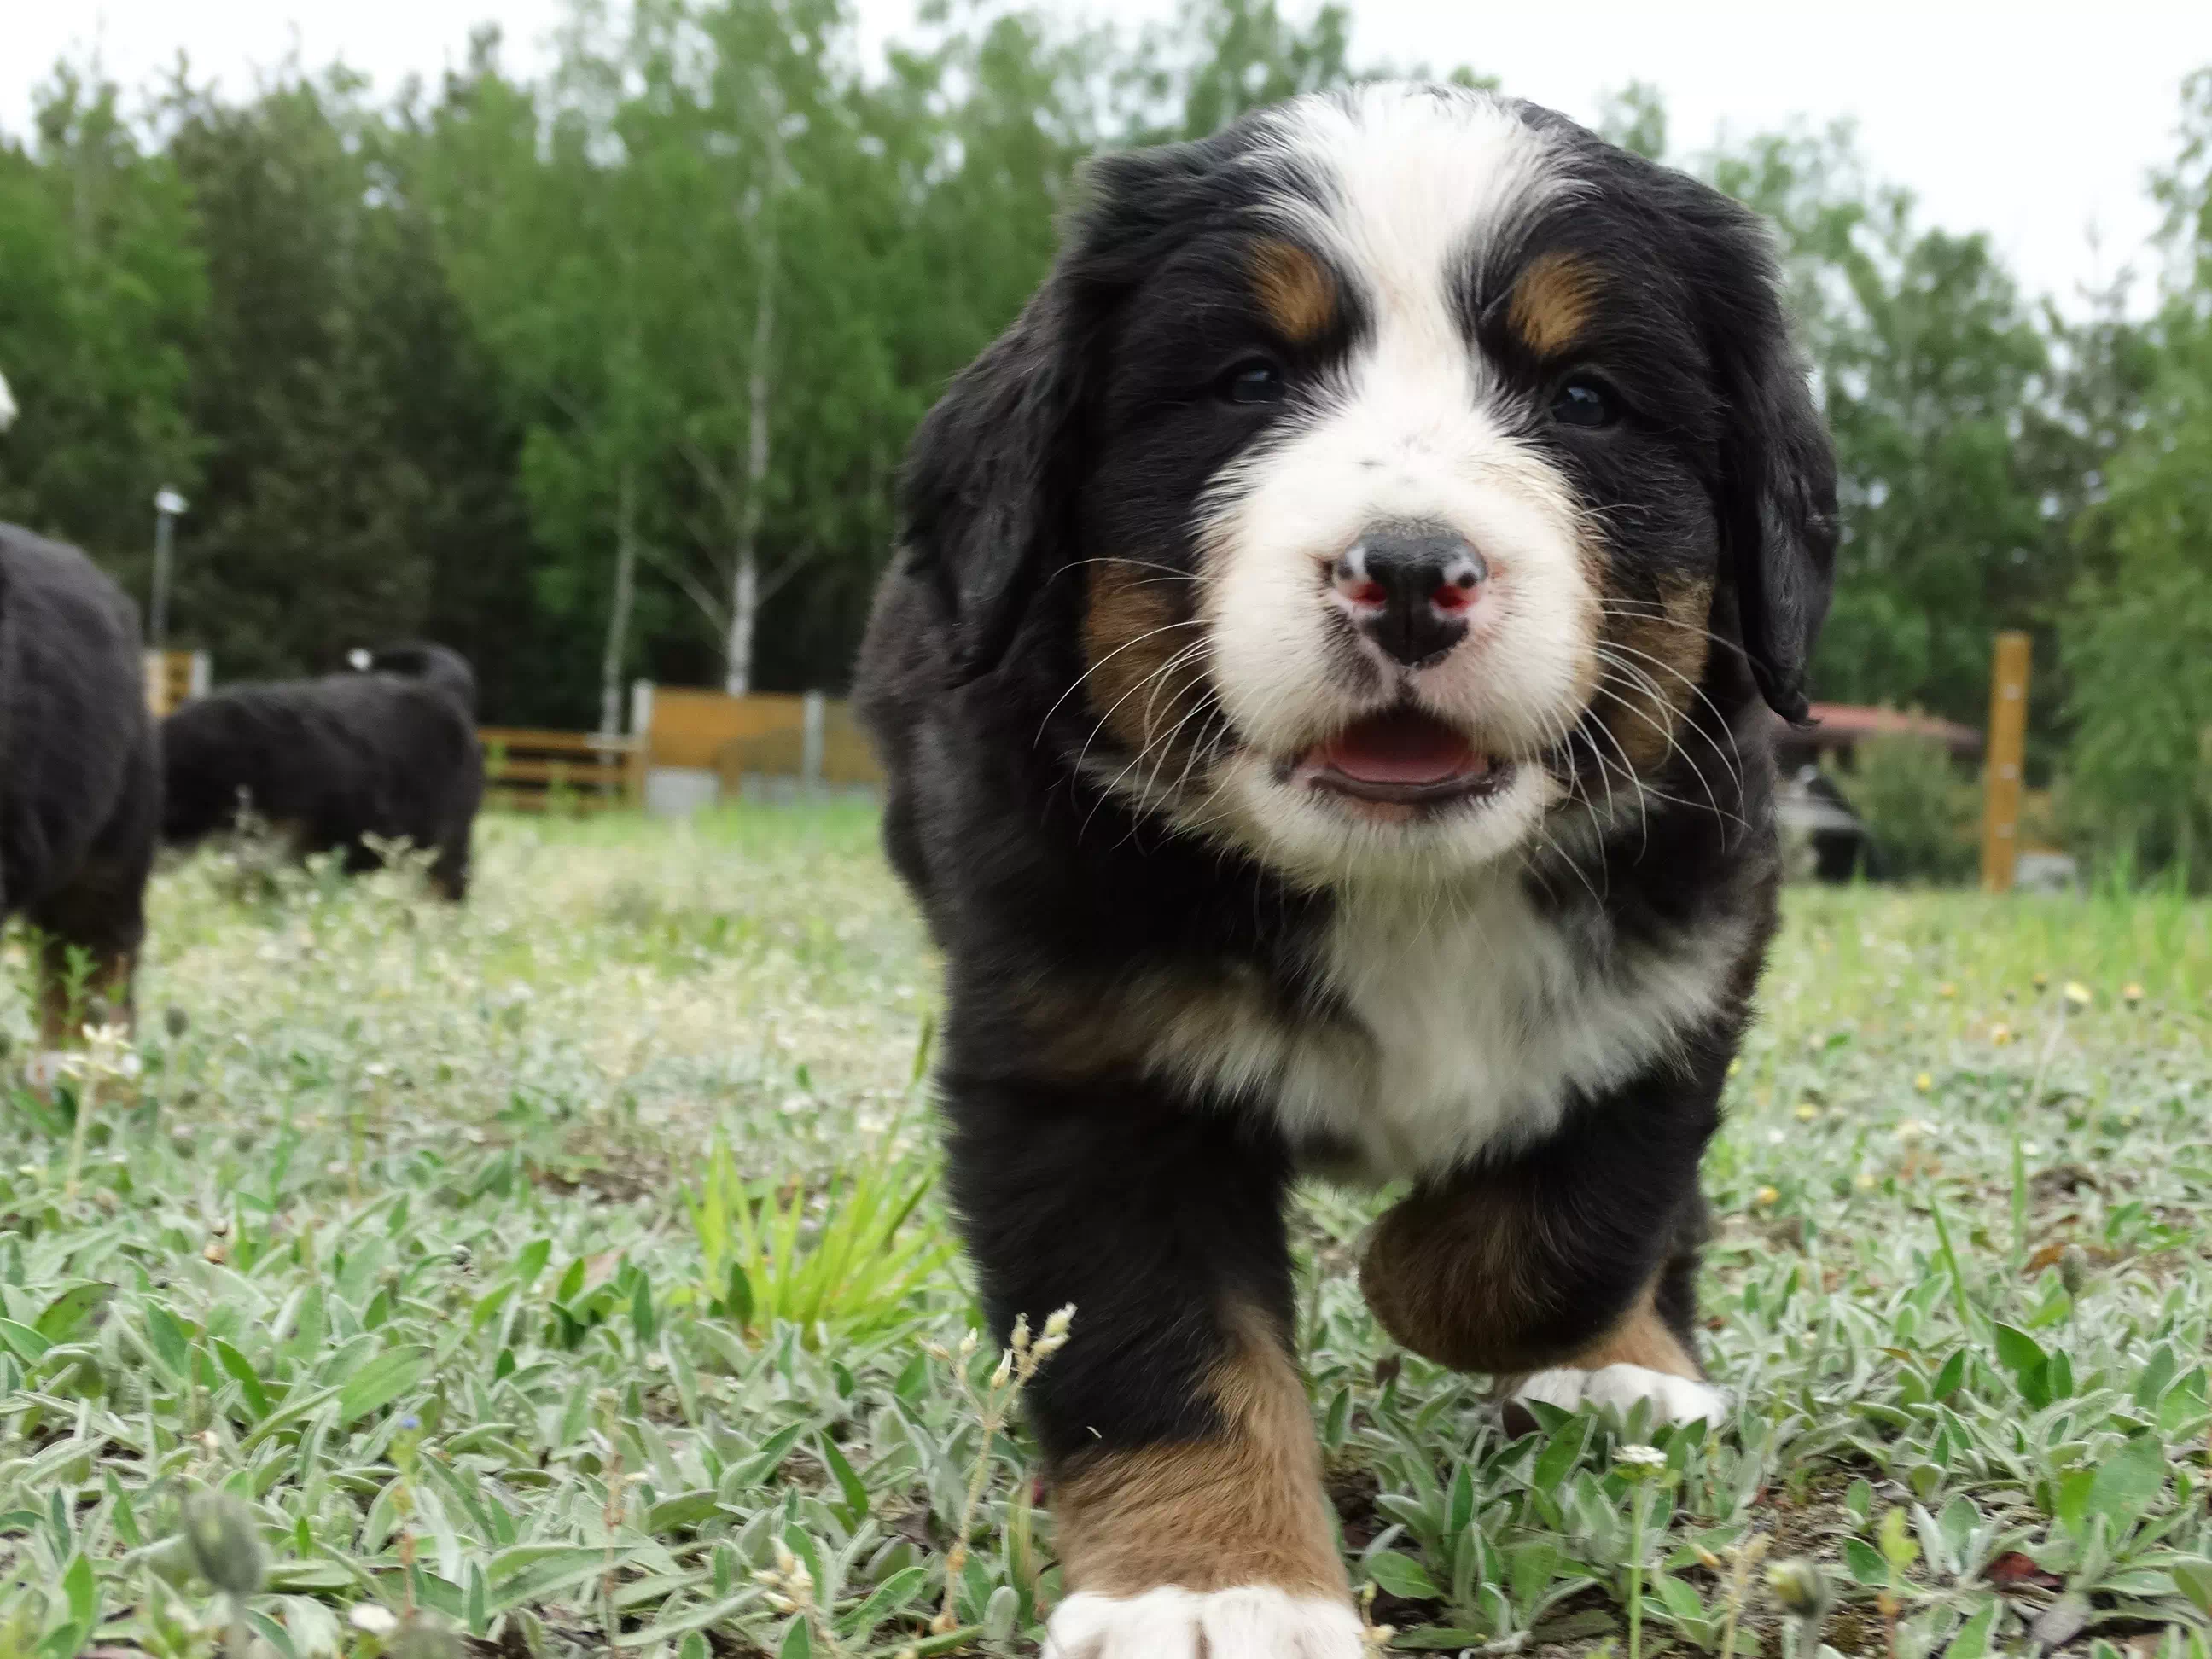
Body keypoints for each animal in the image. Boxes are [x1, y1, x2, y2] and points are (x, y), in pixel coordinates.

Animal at [857, 82, 1837, 1657]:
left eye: (1584, 398)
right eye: (1250, 378)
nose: (1413, 570)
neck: (1405, 885)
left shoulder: (1684, 970)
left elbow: (1566, 1227)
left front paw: (1434, 1280)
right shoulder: (1077, 1056)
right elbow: (1161, 1341)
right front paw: (1212, 1585)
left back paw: (1632, 1370)